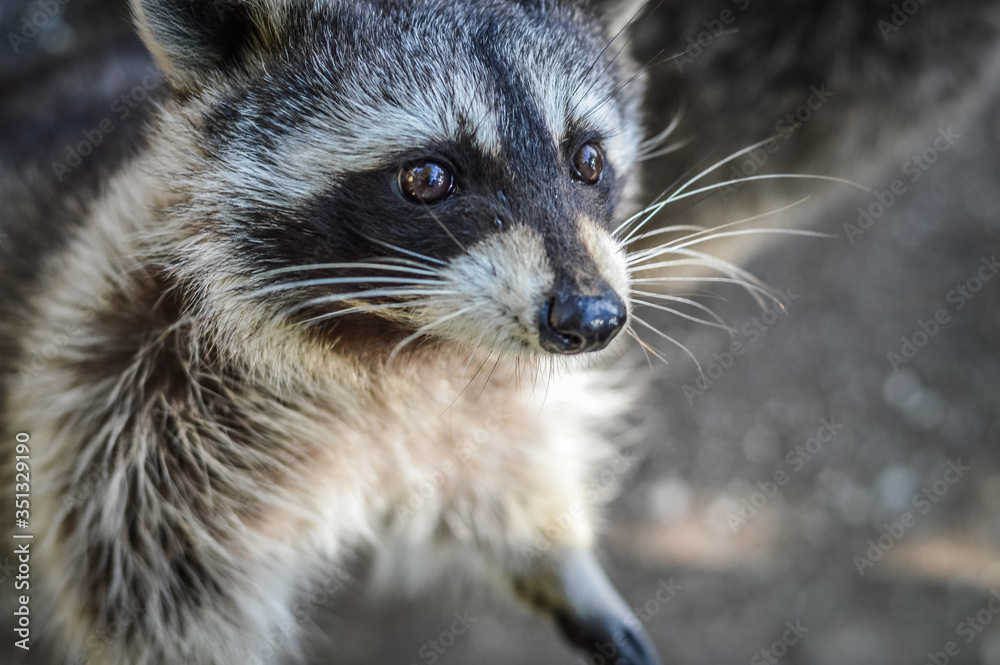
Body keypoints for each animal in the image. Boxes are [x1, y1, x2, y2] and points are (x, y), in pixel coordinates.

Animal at [0, 0, 673, 663]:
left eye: (587, 161)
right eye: (427, 178)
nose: (591, 318)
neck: (391, 341)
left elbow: (505, 461)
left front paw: (562, 562)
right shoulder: (115, 389)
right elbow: (161, 605)